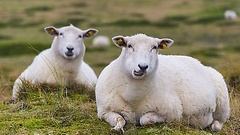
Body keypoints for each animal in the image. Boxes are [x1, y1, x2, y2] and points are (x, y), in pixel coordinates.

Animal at [95, 33, 231, 133]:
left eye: (154, 47)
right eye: (129, 46)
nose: (142, 66)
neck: (134, 96)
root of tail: (199, 62)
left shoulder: (172, 112)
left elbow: (145, 119)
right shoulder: (104, 111)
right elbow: (120, 119)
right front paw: (117, 128)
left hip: (223, 103)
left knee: (220, 121)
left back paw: (213, 126)